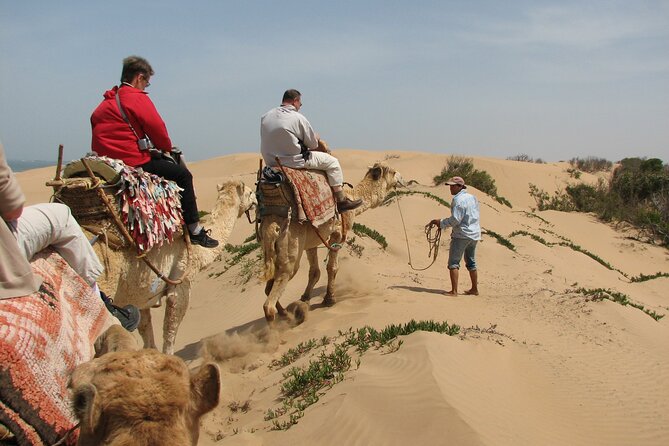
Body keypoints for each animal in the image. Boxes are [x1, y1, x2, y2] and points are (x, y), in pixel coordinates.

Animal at [93, 180, 256, 354]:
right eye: (249, 193)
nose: (256, 200)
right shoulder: (181, 280)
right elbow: (170, 330)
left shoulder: (140, 295)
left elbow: (146, 330)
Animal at [261, 163, 403, 322]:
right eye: (393, 172)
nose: (402, 178)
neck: (353, 196)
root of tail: (272, 227)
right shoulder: (338, 233)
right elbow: (332, 267)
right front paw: (329, 299)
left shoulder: (311, 241)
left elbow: (315, 271)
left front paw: (305, 298)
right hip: (291, 249)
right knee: (270, 302)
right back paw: (289, 318)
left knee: (268, 288)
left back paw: (286, 312)